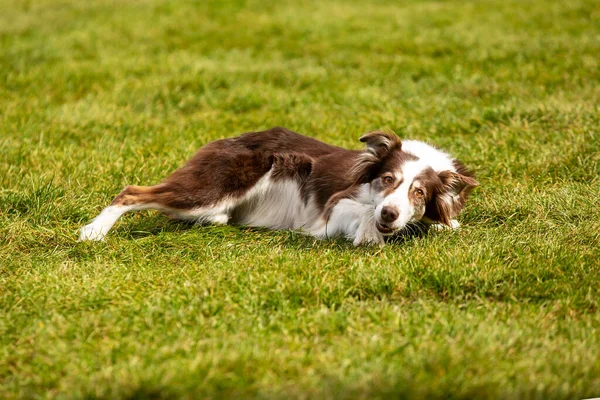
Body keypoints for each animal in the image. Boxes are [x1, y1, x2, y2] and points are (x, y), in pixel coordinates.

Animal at [79, 128, 480, 247]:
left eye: (419, 193)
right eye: (387, 180)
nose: (390, 213)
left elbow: (444, 223)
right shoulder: (332, 208)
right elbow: (360, 211)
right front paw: (369, 231)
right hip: (214, 188)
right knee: (131, 191)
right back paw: (93, 232)